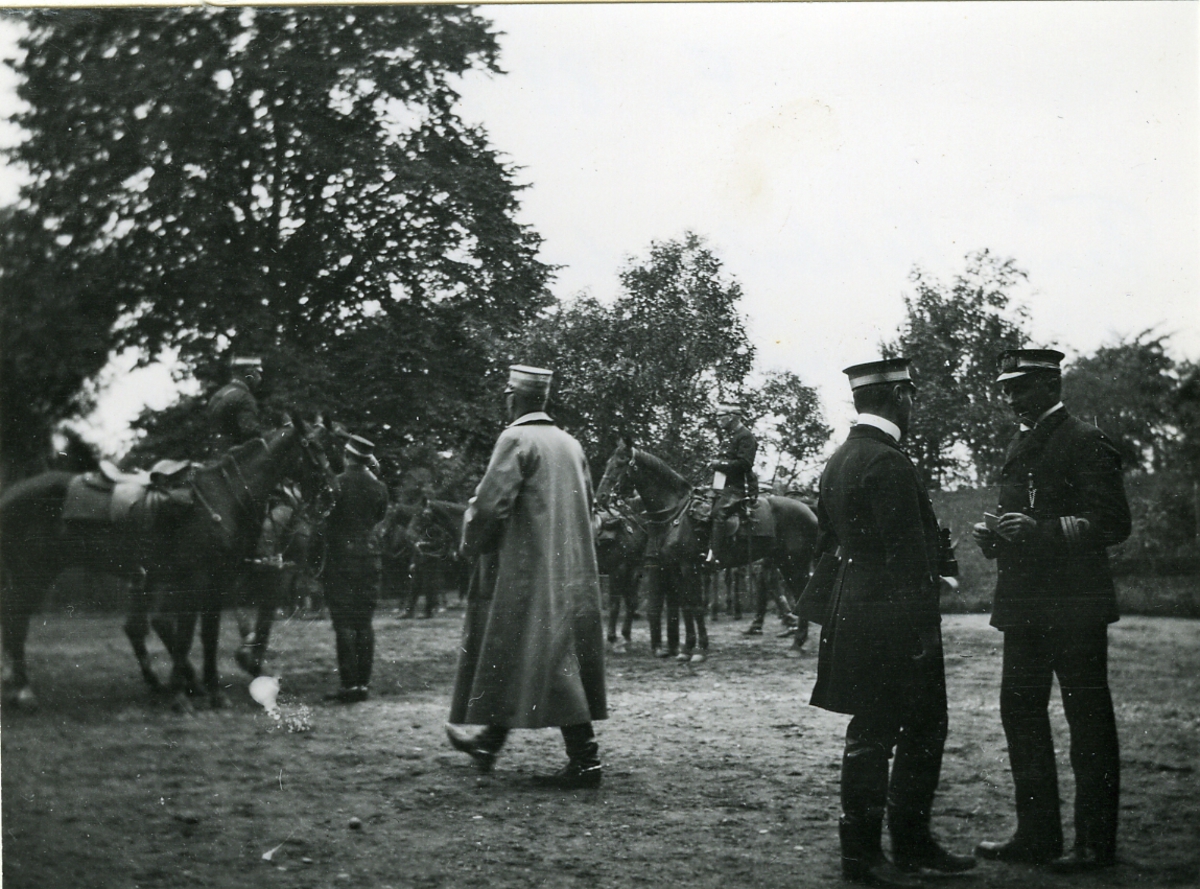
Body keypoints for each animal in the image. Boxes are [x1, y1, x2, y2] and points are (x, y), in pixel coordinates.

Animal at [0, 415, 333, 705]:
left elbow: (208, 635)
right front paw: (181, 696)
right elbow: (185, 635)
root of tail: (10, 494)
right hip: (33, 573)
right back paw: (23, 691)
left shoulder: (218, 581)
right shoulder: (195, 580)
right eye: (313, 448)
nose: (333, 491)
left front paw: (213, 692)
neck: (222, 496)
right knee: (17, 622)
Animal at [590, 506, 648, 652]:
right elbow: (615, 604)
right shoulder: (618, 570)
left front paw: (626, 635)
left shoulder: (633, 570)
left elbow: (632, 602)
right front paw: (612, 637)